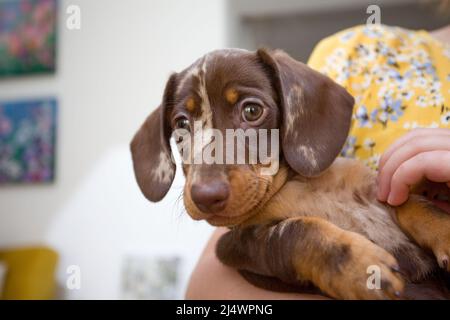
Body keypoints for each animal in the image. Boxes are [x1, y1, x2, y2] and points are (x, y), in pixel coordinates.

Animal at [131, 48, 450, 298]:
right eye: (182, 124)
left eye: (251, 111)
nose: (205, 196)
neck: (301, 186)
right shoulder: (238, 245)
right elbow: (297, 230)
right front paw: (359, 268)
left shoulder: (377, 188)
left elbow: (413, 203)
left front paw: (444, 230)